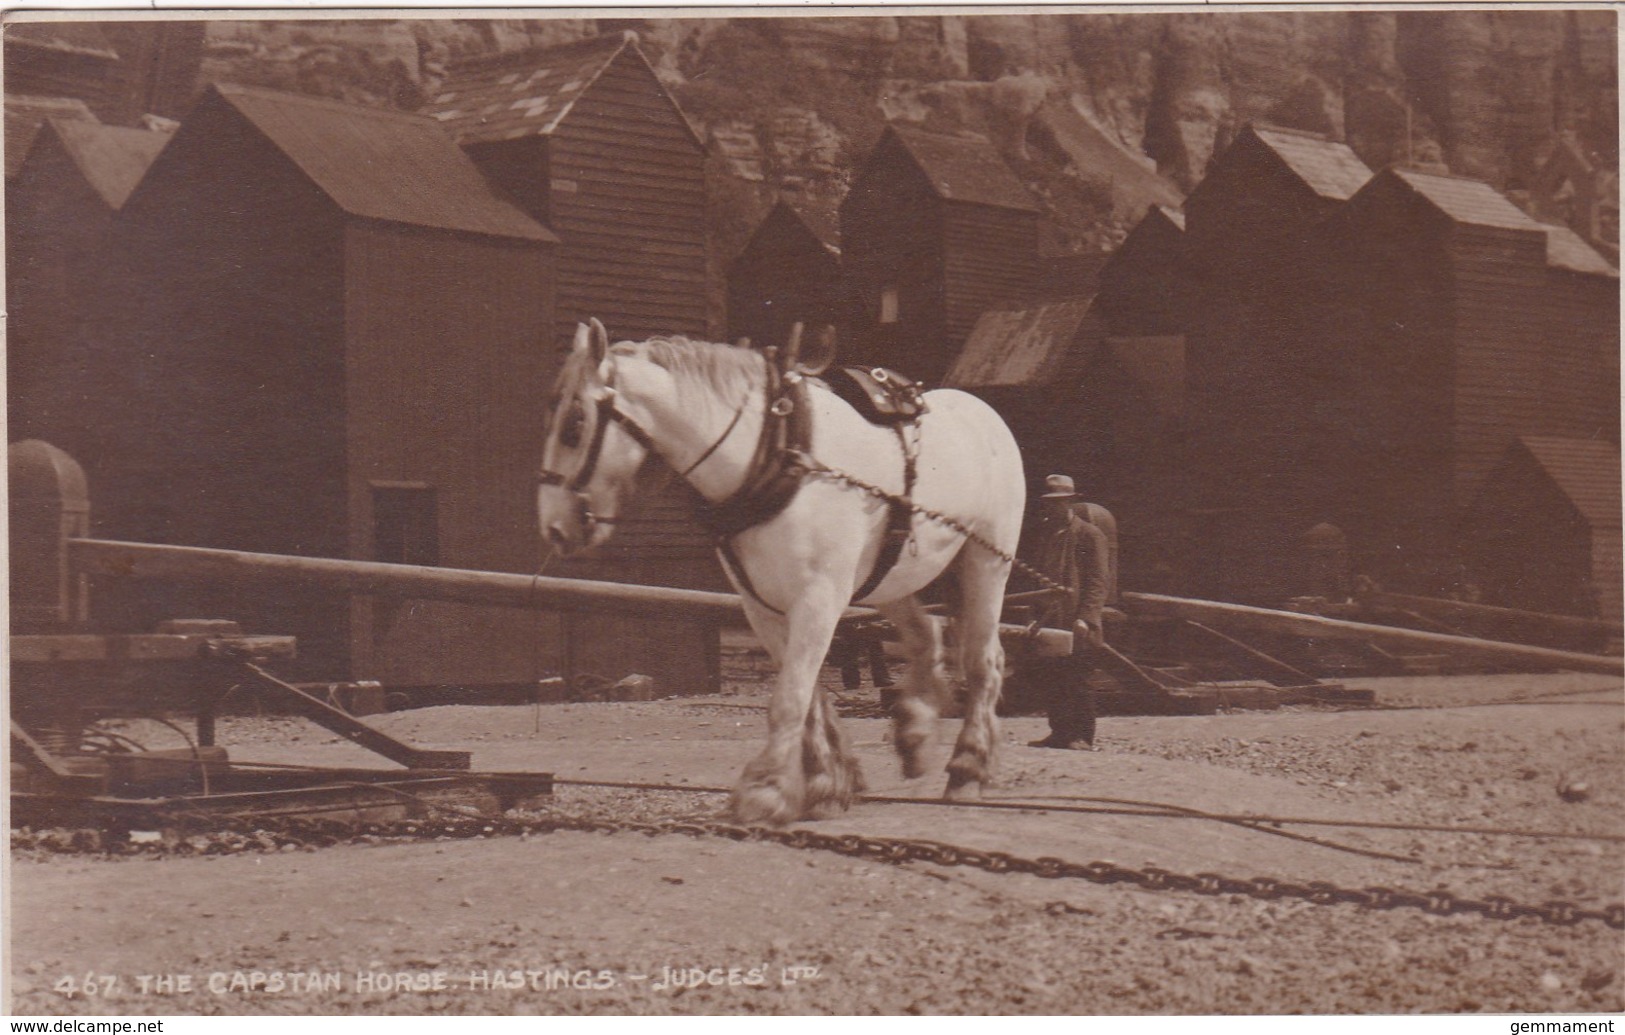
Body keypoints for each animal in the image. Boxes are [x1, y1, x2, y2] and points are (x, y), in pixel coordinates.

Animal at [533, 318, 1020, 818]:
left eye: (574, 424)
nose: (553, 525)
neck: (778, 457)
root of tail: (984, 412)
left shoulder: (819, 599)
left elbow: (789, 698)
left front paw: (764, 787)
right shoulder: (762, 607)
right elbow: (807, 695)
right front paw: (826, 783)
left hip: (987, 561)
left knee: (984, 662)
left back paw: (967, 767)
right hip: (892, 575)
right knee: (926, 637)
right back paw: (915, 733)